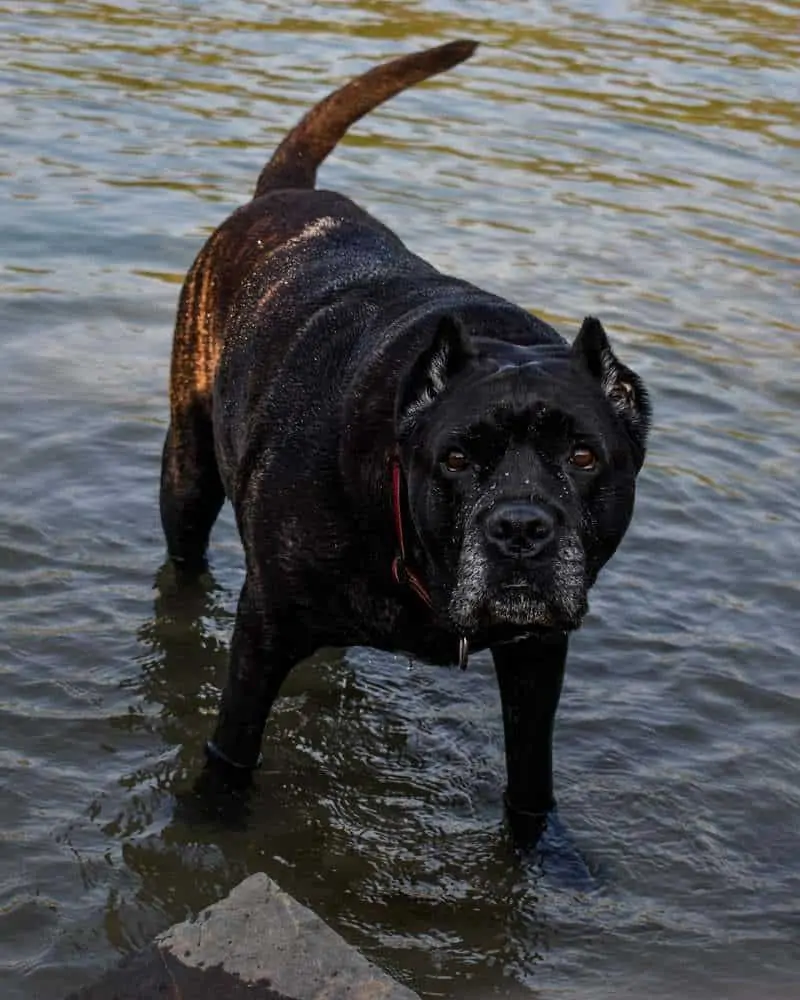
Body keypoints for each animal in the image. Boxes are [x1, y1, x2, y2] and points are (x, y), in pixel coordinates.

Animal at [161, 43, 648, 848]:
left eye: (583, 458)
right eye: (456, 458)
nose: (520, 527)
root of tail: (283, 196)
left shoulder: (538, 656)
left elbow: (531, 783)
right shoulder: (264, 629)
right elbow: (233, 748)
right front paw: (209, 825)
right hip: (188, 473)